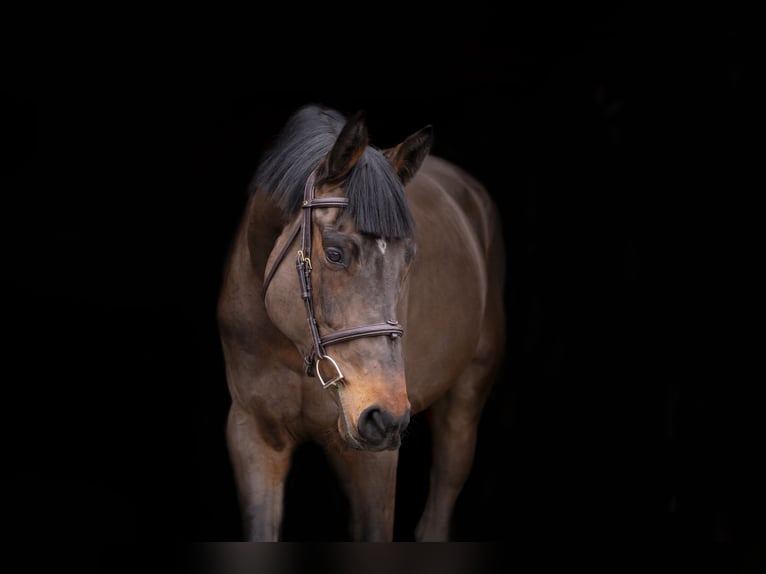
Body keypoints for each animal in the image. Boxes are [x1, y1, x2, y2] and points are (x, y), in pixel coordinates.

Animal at [217, 104, 506, 541]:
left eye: (409, 257)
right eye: (335, 253)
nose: (385, 416)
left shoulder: (376, 457)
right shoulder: (252, 435)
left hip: (464, 401)